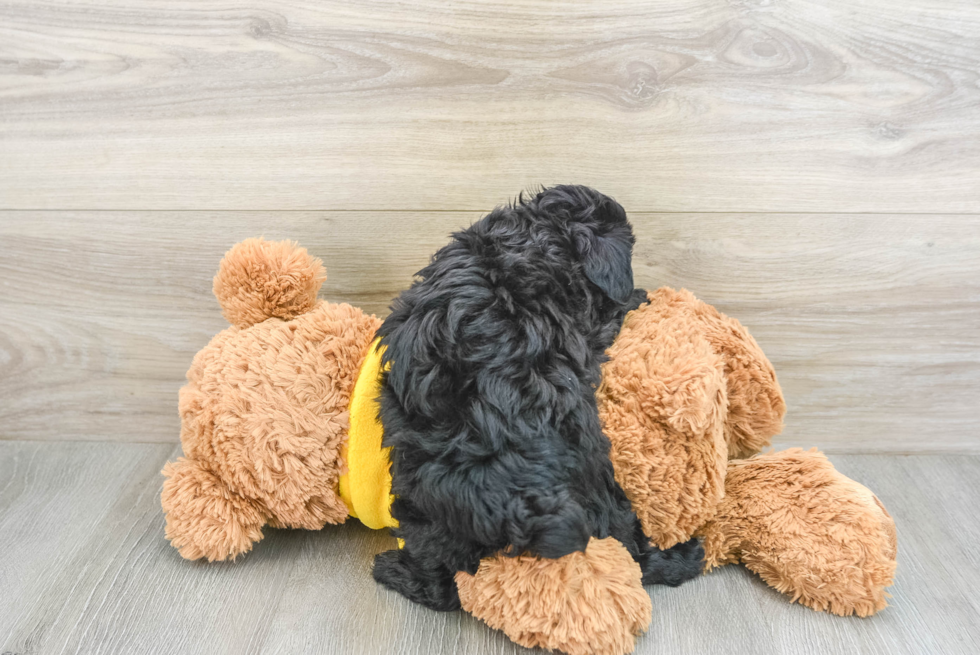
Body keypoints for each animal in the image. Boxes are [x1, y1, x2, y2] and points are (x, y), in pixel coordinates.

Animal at [372, 187, 700, 612]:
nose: (638, 290)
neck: (533, 237)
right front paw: (637, 299)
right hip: (593, 470)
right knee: (626, 544)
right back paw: (682, 555)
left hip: (419, 491)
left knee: (438, 577)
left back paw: (395, 570)